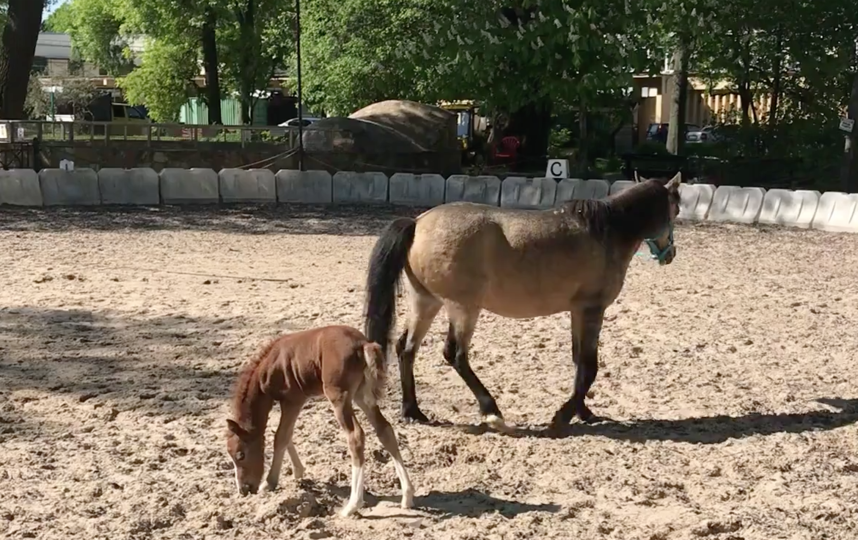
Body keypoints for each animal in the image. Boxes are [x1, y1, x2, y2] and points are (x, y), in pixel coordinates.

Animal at [224, 322, 414, 516]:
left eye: (240, 455)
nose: (244, 490)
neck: (270, 364)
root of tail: (364, 344)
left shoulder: (293, 400)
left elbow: (281, 437)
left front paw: (269, 483)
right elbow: (287, 435)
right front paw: (298, 472)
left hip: (338, 396)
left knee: (356, 436)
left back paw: (352, 505)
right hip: (362, 395)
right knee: (385, 430)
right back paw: (407, 496)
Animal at [362, 175, 684, 432]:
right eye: (676, 209)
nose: (670, 254)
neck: (608, 231)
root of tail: (417, 223)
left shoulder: (578, 312)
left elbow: (579, 361)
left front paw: (583, 411)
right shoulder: (593, 310)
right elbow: (590, 367)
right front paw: (563, 416)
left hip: (426, 302)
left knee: (406, 348)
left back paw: (412, 411)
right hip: (463, 308)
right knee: (456, 355)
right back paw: (490, 410)